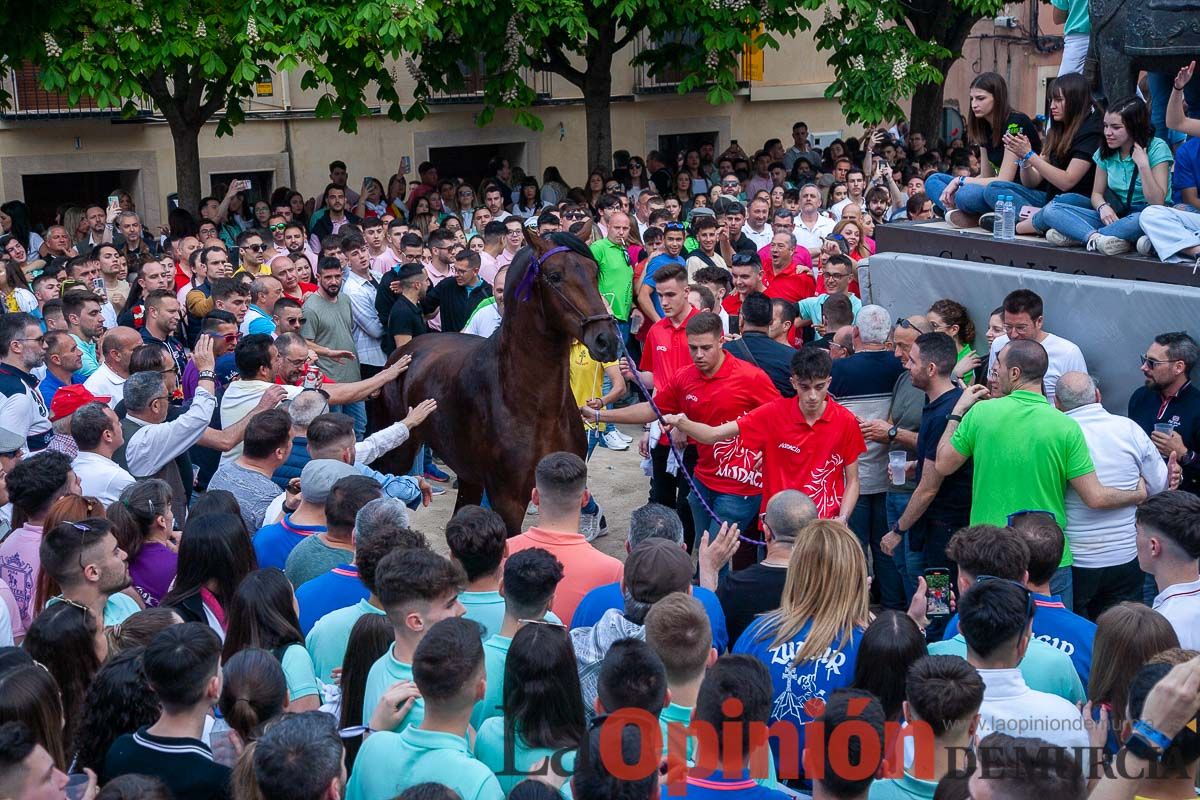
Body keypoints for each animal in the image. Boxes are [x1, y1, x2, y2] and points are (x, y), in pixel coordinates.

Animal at [372, 225, 619, 534]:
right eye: (554, 276)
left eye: (593, 271)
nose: (606, 339)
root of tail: (402, 354)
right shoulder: (508, 500)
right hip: (398, 454)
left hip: (468, 474)